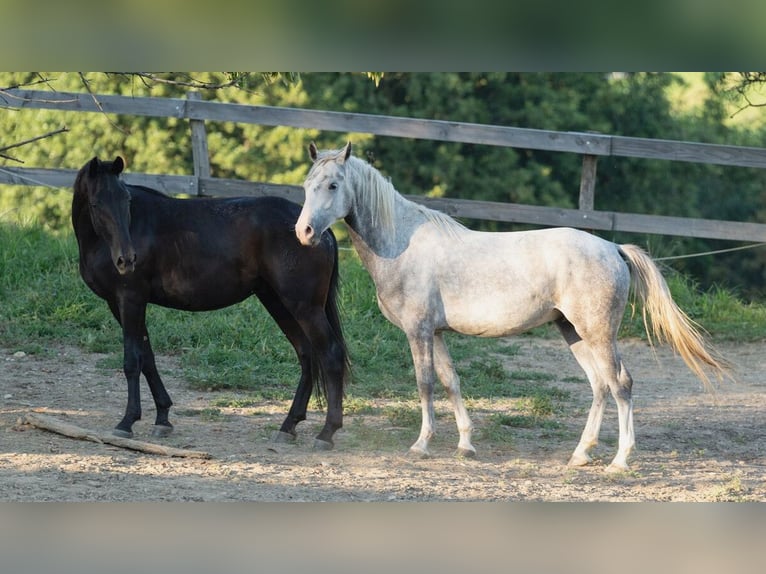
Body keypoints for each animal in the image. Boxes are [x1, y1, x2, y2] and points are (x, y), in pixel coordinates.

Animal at [72, 158, 348, 450]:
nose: (126, 259)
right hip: (278, 302)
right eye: (96, 204)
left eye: (126, 200)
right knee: (307, 354)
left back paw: (326, 433)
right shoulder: (120, 304)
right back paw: (288, 426)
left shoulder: (130, 300)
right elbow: (147, 357)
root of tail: (317, 230)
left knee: (330, 353)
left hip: (304, 307)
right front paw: (163, 418)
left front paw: (127, 422)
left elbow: (132, 361)